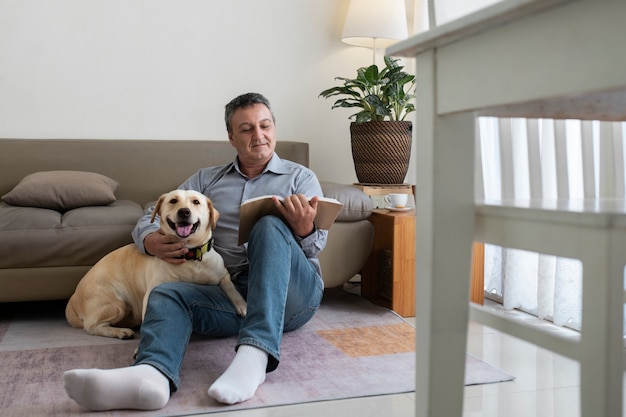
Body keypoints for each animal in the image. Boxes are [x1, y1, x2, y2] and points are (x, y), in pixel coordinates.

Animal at [65, 188, 246, 338]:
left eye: (196, 202)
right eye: (173, 201)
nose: (184, 211)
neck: (190, 256)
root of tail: (73, 299)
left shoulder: (223, 274)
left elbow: (230, 286)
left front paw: (241, 304)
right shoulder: (154, 292)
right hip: (116, 304)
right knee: (92, 326)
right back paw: (120, 331)